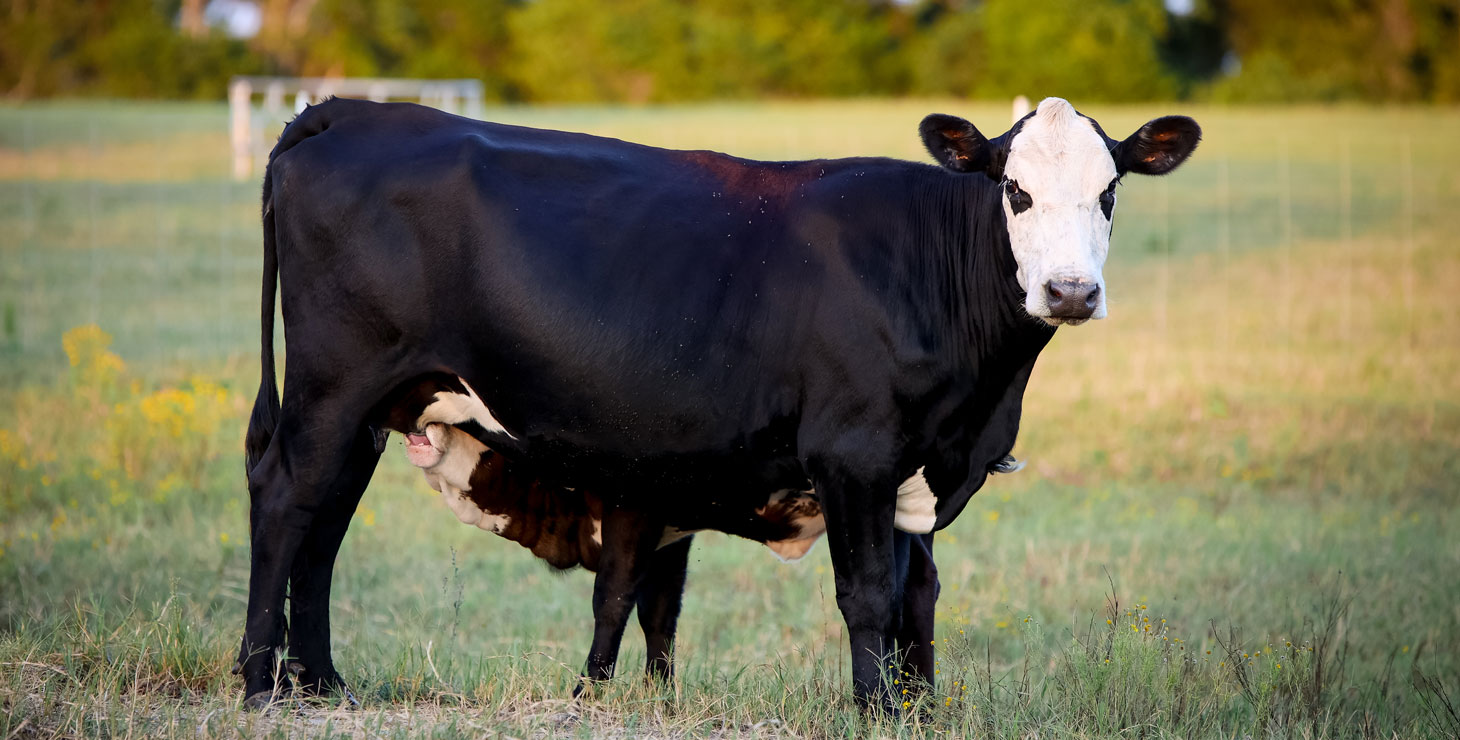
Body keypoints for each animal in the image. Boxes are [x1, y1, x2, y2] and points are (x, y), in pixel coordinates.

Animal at [236, 95, 1197, 709]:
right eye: (1015, 190)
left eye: (1109, 192)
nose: (1070, 292)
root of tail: (355, 112)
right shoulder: (854, 454)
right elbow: (867, 596)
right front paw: (877, 711)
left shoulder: (916, 469)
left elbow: (916, 597)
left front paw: (920, 709)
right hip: (333, 388)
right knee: (288, 502)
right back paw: (260, 683)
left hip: (368, 407)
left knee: (325, 523)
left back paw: (324, 683)